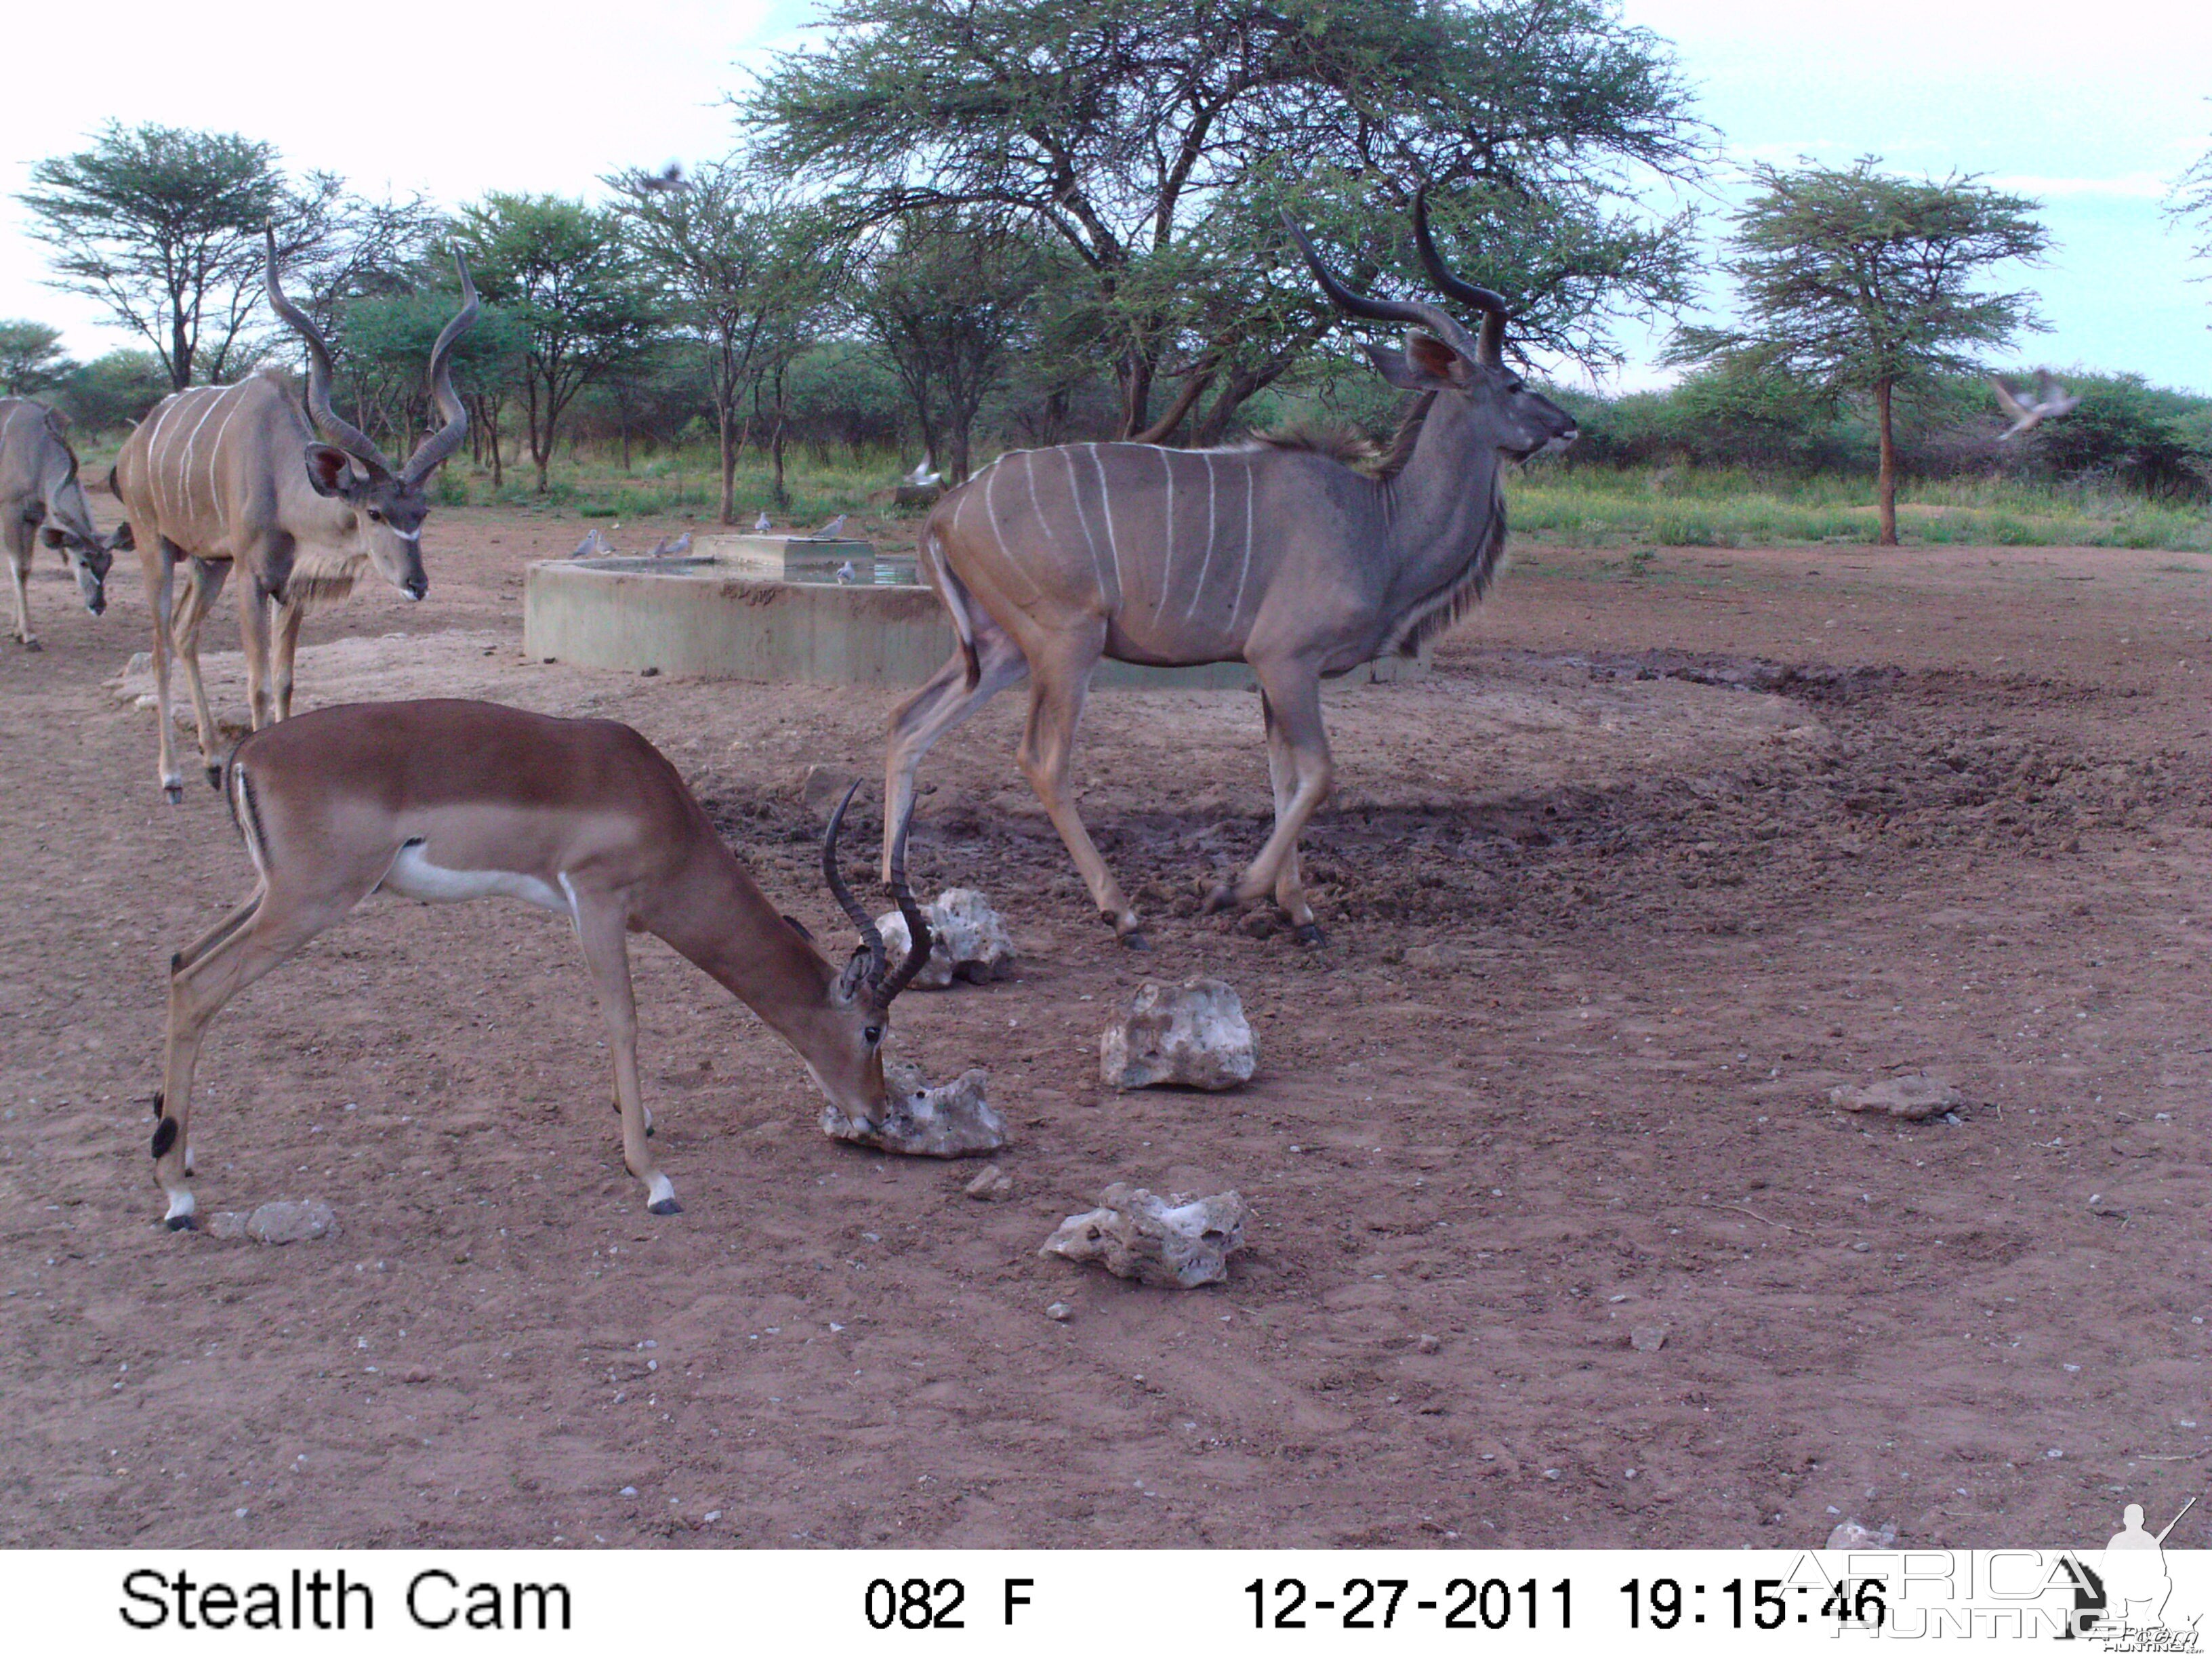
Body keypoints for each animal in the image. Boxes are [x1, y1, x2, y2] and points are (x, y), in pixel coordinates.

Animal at [0, 403, 129, 650]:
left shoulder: (33, 517)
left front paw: (16, 631)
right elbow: (19, 567)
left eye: (109, 563)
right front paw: (29, 636)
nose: (98, 606)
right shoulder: (11, 510)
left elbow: (24, 567)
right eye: (83, 562)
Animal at [113, 235, 475, 805]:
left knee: (184, 633)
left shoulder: (291, 587)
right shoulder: (251, 579)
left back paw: (211, 762)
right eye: (374, 512)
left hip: (208, 563)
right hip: (157, 546)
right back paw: (171, 777)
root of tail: (131, 446)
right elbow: (259, 683)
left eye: (422, 512)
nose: (417, 584)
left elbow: (286, 680)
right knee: (158, 645)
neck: (281, 478)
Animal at [880, 191, 1574, 946]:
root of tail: (946, 510)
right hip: (1067, 643)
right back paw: (1121, 912)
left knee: (907, 723)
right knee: (1042, 760)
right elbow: (1319, 775)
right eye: (1515, 382)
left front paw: (1298, 911)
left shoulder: (1272, 674)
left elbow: (1284, 779)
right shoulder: (1285, 658)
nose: (1569, 426)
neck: (1379, 521)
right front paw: (1232, 891)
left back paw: (896, 888)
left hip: (1000, 647)